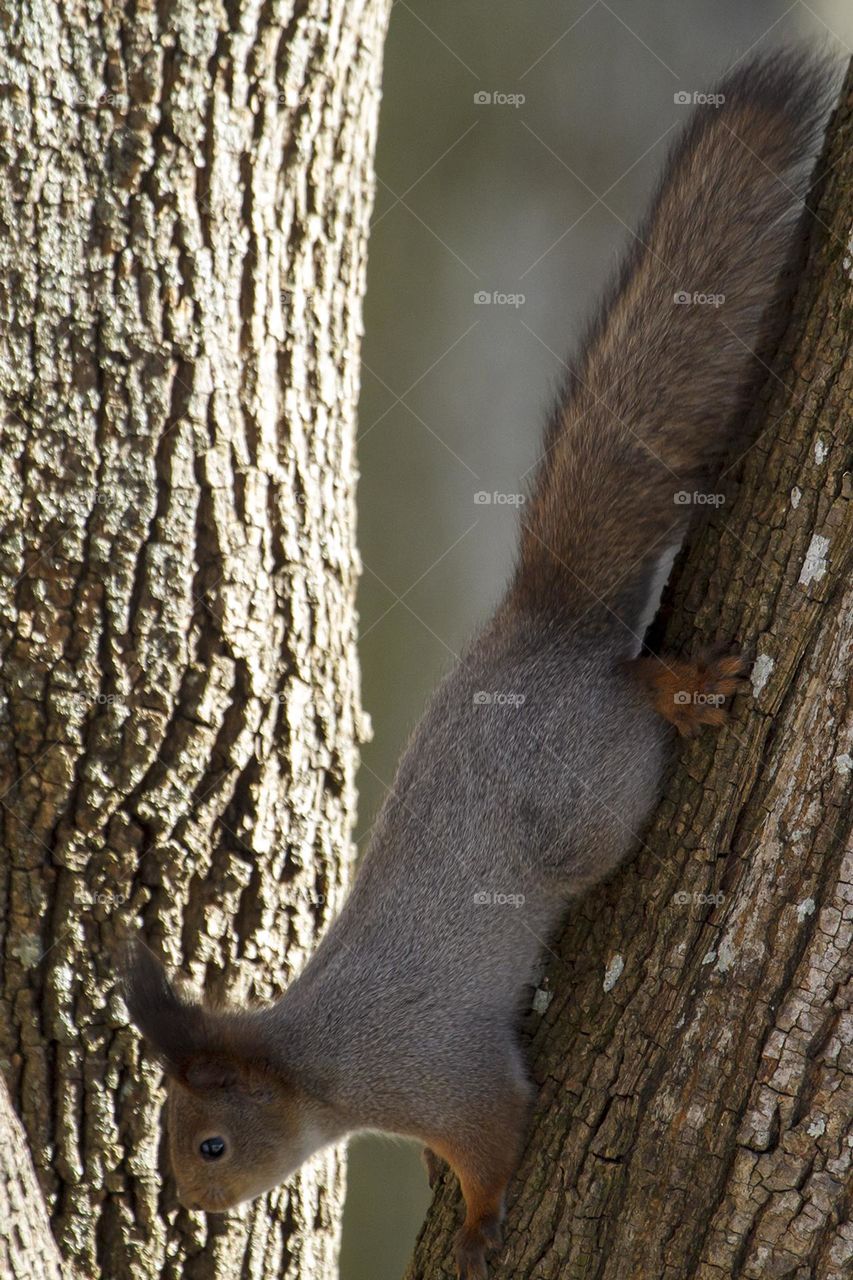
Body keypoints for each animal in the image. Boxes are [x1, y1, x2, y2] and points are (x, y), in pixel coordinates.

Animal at [122, 50, 835, 1280]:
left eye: (209, 1142)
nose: (193, 1207)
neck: (318, 1060)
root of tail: (539, 625)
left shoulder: (434, 1072)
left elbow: (495, 1132)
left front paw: (479, 1216)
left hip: (591, 787)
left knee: (632, 699)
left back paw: (678, 686)